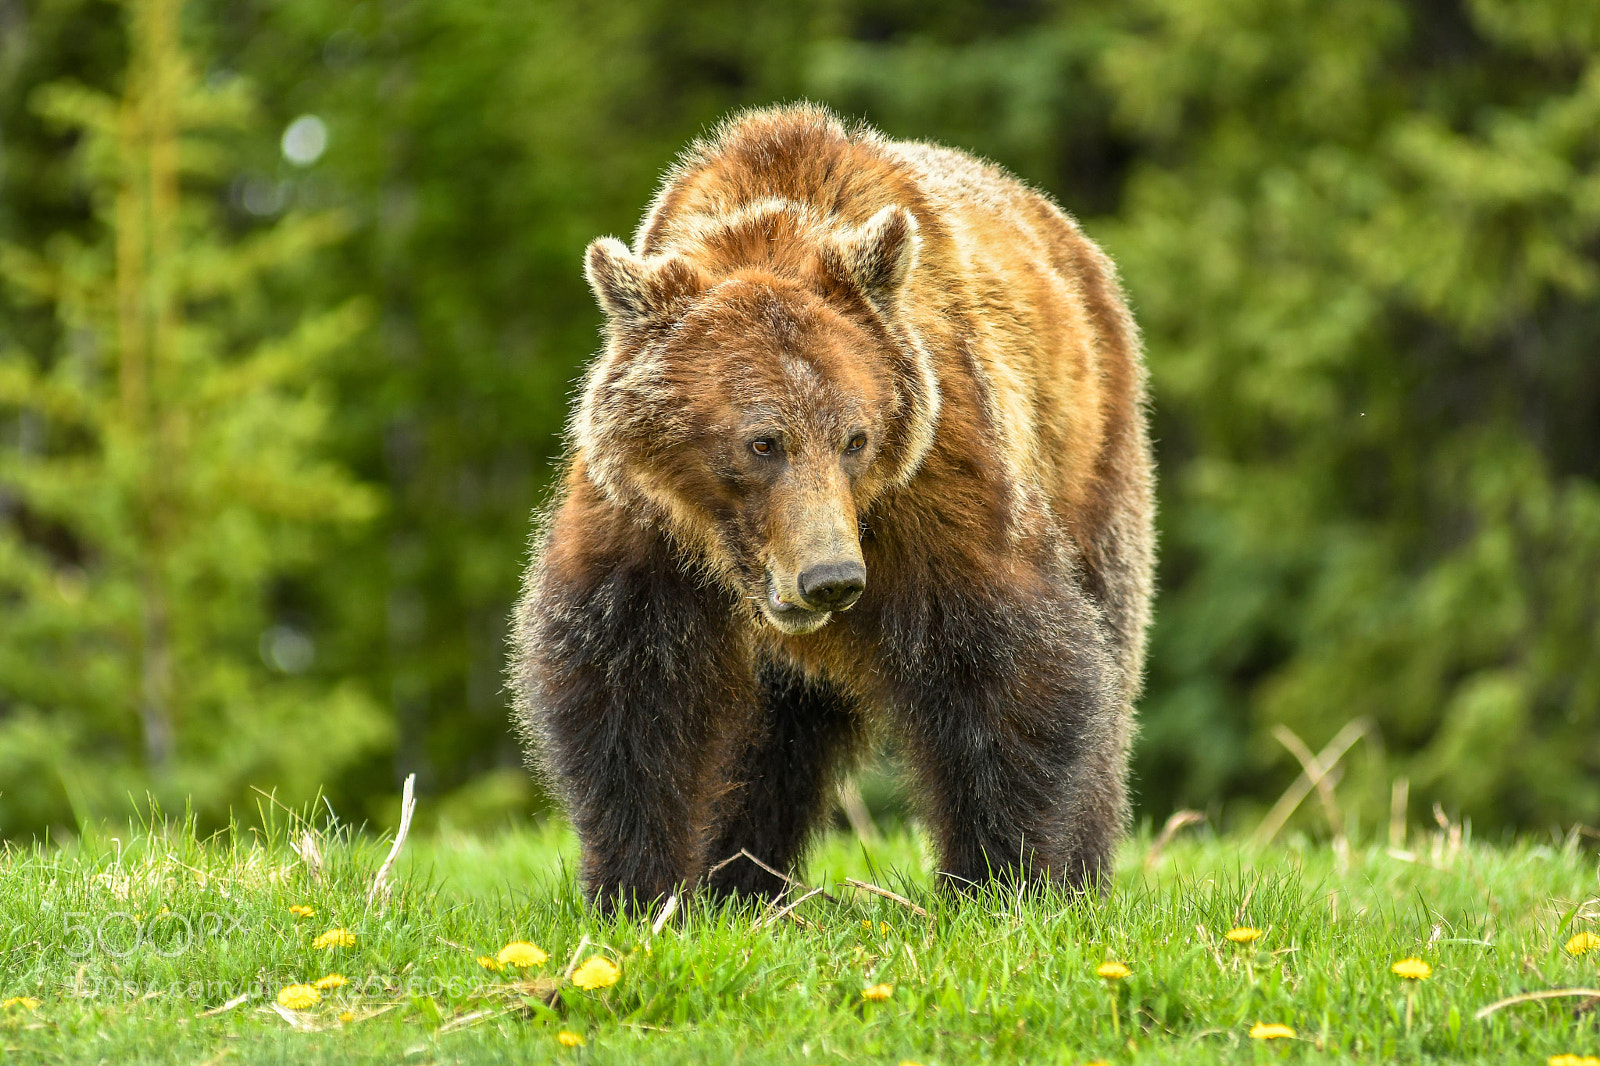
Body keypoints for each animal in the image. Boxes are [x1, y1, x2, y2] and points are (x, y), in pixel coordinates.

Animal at [511, 103, 1154, 912]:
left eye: (855, 438)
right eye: (762, 442)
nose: (831, 579)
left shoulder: (934, 482)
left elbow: (1007, 666)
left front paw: (995, 880)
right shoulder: (642, 519)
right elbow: (630, 682)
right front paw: (639, 887)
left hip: (1092, 456)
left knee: (1109, 648)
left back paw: (1083, 872)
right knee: (768, 742)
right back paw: (739, 880)